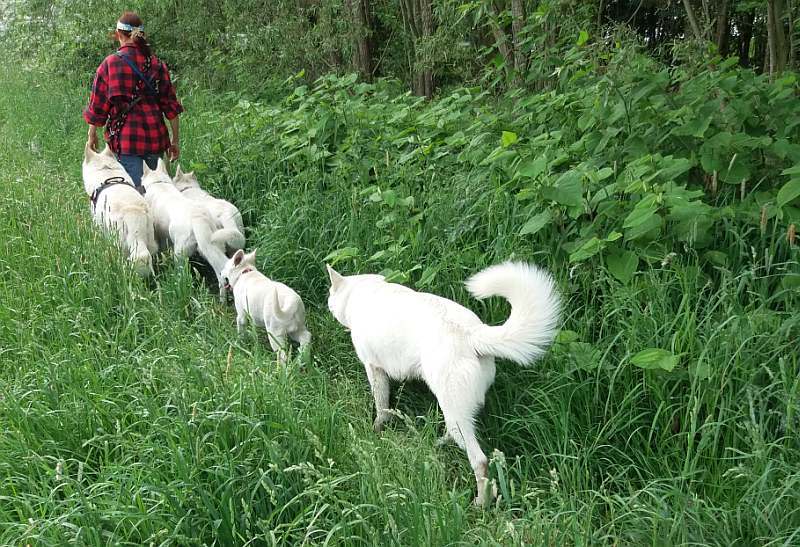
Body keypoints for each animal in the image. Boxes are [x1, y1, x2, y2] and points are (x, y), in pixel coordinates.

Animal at [324, 264, 564, 508]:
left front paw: (376, 430)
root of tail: (470, 334)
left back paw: (481, 502)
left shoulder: (374, 369)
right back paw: (440, 443)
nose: (328, 303)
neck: (364, 293)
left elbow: (381, 406)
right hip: (455, 412)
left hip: (454, 410)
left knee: (480, 460)